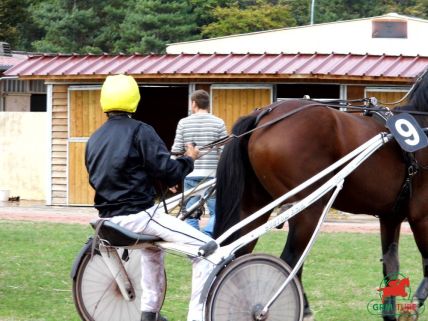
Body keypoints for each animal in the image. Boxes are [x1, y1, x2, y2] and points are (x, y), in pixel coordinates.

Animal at [216, 71, 428, 320]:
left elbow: (391, 266)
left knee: (239, 255)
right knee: (290, 260)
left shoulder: (391, 217)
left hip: (254, 206)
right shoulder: (421, 217)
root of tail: (264, 115)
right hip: (309, 209)